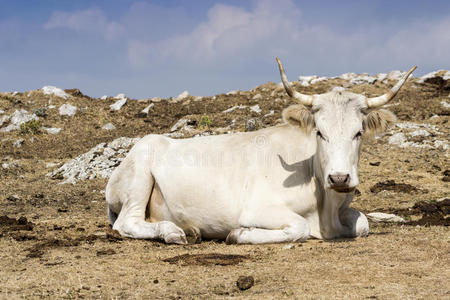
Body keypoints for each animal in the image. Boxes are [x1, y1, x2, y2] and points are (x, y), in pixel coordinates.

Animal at [105, 58, 414, 244]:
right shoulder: (257, 208)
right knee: (127, 223)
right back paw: (172, 232)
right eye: (319, 132)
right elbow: (299, 228)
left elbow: (363, 223)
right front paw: (239, 234)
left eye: (358, 132)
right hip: (139, 180)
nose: (339, 178)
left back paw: (189, 229)